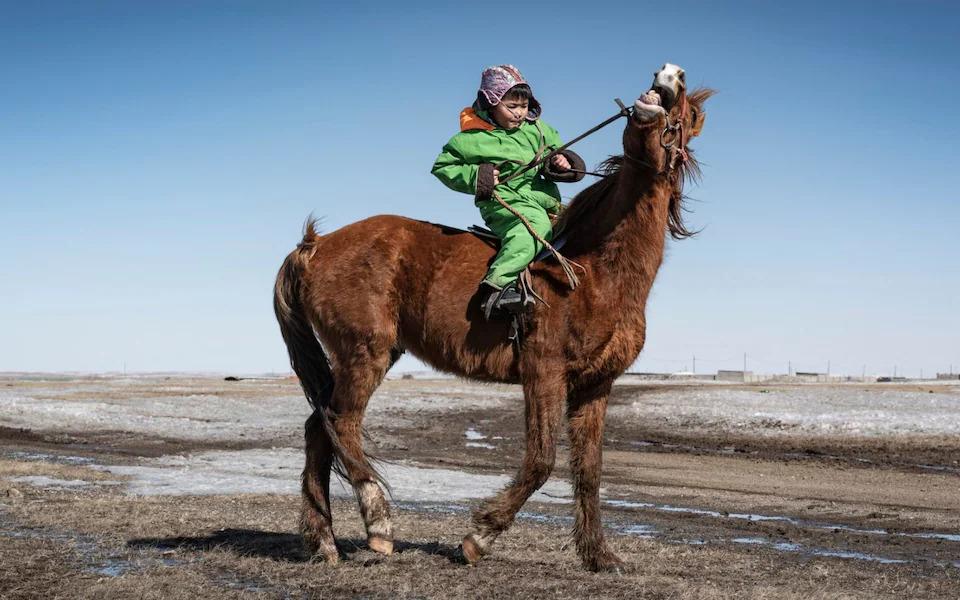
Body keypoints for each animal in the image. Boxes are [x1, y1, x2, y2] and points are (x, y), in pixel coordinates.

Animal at [274, 62, 708, 572]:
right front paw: (479, 537)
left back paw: (324, 541)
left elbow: (590, 472)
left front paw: (600, 555)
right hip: (364, 353)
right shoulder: (543, 372)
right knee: (339, 423)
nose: (668, 75)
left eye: (689, 113)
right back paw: (378, 523)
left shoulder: (595, 385)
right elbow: (541, 459)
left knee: (318, 429)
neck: (594, 271)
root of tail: (316, 244)